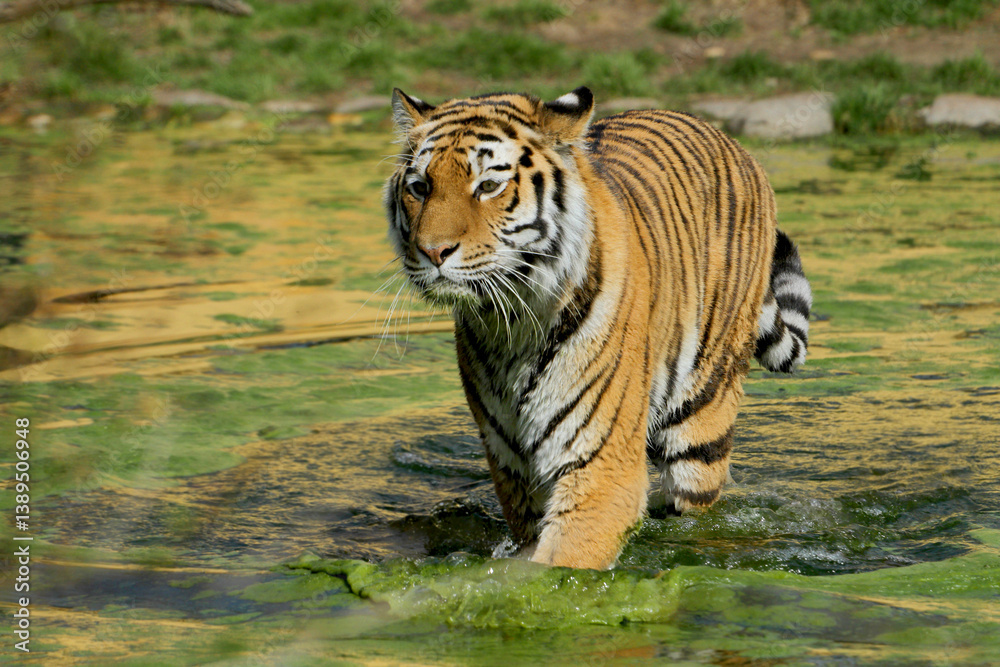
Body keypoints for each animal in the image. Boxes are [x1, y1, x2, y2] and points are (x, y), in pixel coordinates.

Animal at [383, 86, 811, 570]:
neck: (511, 323)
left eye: (489, 185)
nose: (433, 252)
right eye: (420, 187)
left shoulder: (602, 466)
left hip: (703, 423)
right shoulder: (515, 471)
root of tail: (726, 138)